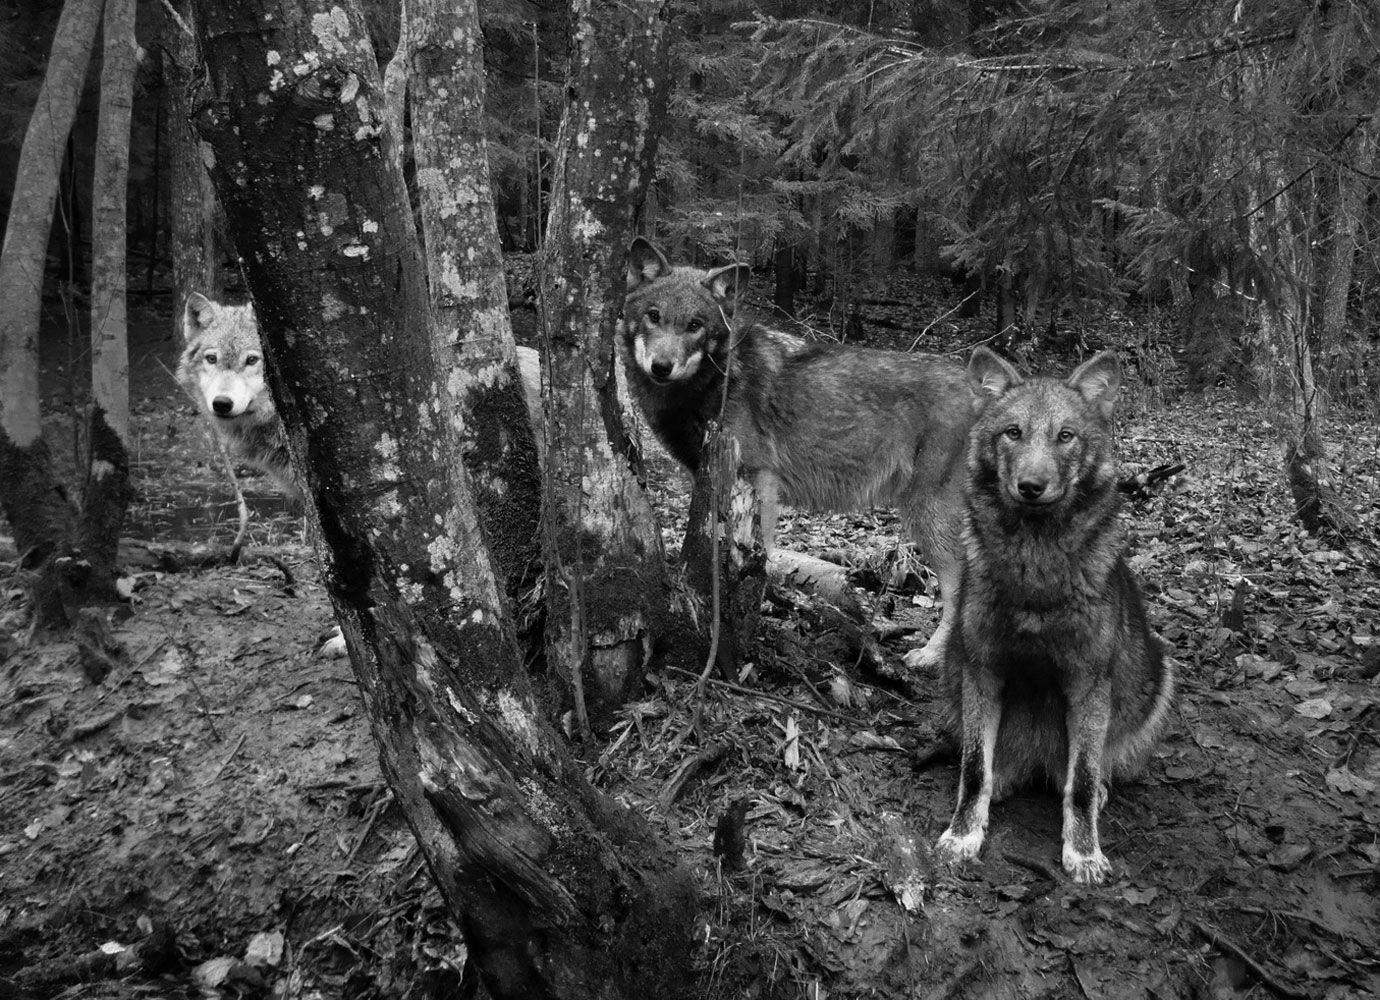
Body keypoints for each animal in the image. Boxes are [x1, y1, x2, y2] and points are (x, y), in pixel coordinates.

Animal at [621, 238, 977, 667]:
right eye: (654, 316)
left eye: (695, 325)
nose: (661, 366)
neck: (711, 382)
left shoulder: (756, 482)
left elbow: (755, 561)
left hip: (928, 516)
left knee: (959, 589)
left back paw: (931, 655)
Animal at [932, 347, 1170, 882]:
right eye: (1013, 432)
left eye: (1066, 436)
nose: (1031, 485)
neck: (1035, 566)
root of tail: (1038, 763)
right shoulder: (982, 670)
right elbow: (973, 770)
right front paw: (963, 835)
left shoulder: (1088, 681)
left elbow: (1079, 783)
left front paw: (1083, 854)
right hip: (953, 673)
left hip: (1159, 672)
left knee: (1089, 770)